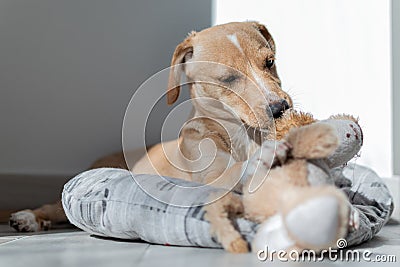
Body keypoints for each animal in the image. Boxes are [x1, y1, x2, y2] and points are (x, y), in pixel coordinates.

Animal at [10, 21, 294, 232]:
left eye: (269, 62)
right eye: (228, 79)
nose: (280, 108)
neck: (243, 135)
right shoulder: (208, 179)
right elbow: (234, 170)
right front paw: (265, 156)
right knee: (53, 207)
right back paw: (27, 218)